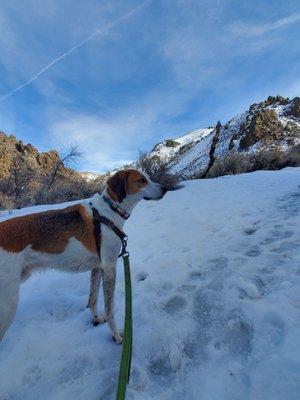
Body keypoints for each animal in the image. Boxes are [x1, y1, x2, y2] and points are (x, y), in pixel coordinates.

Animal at [0, 169, 166, 344]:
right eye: (141, 180)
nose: (165, 188)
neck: (110, 211)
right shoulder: (109, 266)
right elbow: (110, 309)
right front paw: (117, 336)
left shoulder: (98, 267)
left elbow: (92, 300)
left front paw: (96, 319)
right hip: (8, 304)